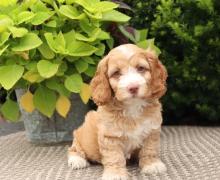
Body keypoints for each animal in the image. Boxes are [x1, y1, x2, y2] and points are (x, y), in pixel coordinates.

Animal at [68, 44, 168, 180]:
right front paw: (115, 174)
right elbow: (114, 156)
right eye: (116, 73)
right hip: (81, 136)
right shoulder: (110, 136)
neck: (132, 106)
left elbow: (150, 149)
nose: (133, 87)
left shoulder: (152, 130)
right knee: (73, 148)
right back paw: (77, 160)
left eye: (141, 68)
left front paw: (152, 165)